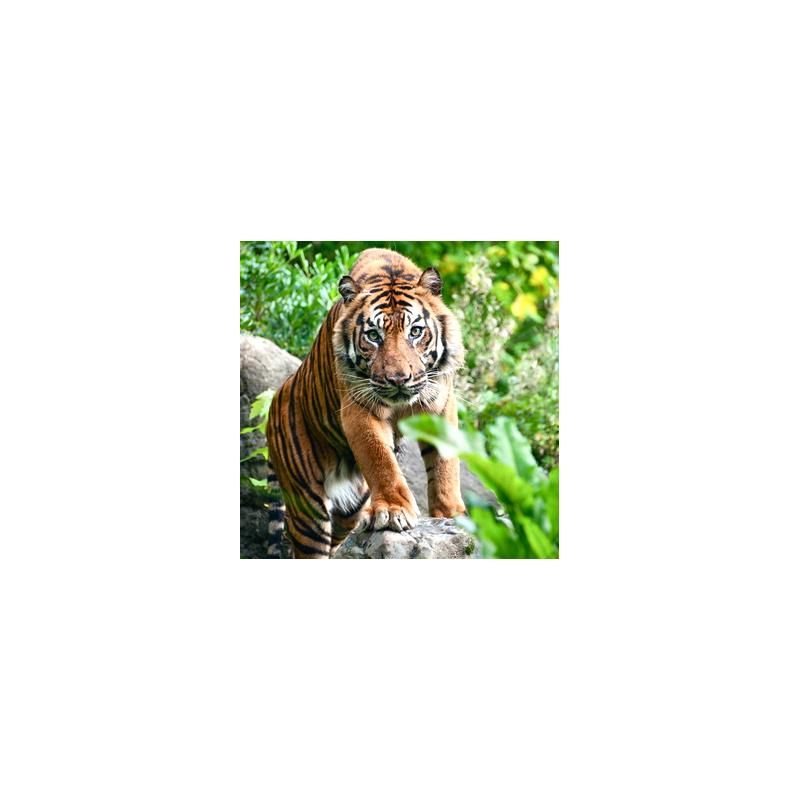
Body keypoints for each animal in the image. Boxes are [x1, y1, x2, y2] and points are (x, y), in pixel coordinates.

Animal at [265, 247, 466, 559]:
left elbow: (445, 463)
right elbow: (380, 459)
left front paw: (450, 514)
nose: (398, 379)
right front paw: (394, 511)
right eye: (373, 336)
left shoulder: (439, 402)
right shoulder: (360, 407)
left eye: (415, 332)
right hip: (308, 508)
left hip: (351, 508)